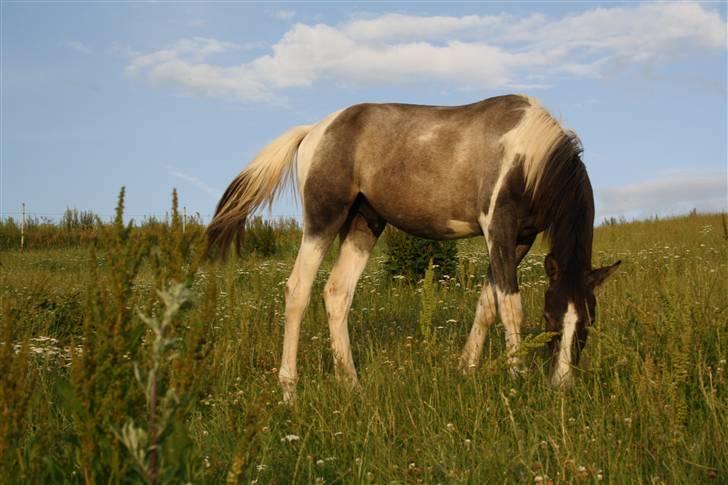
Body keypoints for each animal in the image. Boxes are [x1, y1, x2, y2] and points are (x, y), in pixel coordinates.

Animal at [206, 94, 620, 400]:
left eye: (588, 322)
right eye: (549, 318)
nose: (561, 385)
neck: (528, 157)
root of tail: (314, 131)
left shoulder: (519, 240)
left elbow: (487, 304)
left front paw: (466, 368)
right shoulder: (498, 229)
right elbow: (510, 307)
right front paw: (516, 376)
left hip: (363, 225)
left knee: (337, 293)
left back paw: (351, 383)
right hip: (323, 221)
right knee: (298, 291)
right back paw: (289, 390)